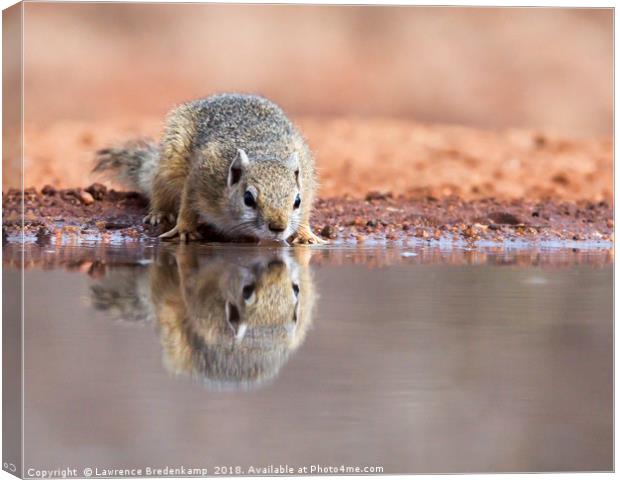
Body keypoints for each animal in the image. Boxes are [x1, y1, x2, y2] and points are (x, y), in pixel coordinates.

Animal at [94, 93, 326, 244]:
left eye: (297, 201)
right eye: (248, 199)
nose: (278, 228)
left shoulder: (306, 184)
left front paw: (305, 234)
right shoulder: (201, 176)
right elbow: (188, 203)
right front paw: (184, 229)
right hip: (169, 164)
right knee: (160, 188)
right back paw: (159, 213)